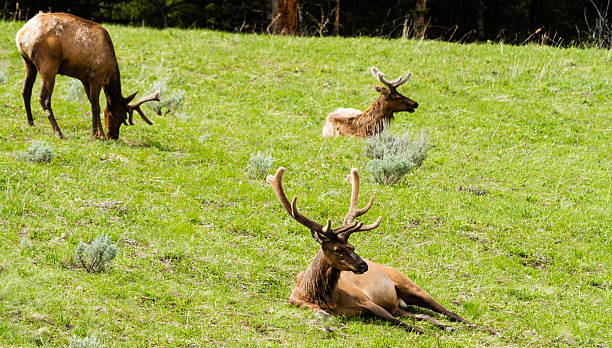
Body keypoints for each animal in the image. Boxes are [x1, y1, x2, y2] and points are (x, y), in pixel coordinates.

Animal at [15, 12, 159, 140]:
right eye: (121, 116)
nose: (114, 136)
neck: (110, 68)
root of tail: (21, 35)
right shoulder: (97, 76)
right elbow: (96, 106)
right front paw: (97, 135)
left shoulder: (85, 80)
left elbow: (92, 103)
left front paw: (98, 134)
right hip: (49, 63)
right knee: (44, 98)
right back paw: (59, 133)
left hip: (28, 62)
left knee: (25, 91)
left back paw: (31, 123)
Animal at [268, 167, 498, 336]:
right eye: (337, 249)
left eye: (353, 247)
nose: (363, 265)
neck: (319, 295)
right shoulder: (301, 303)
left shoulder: (366, 300)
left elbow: (399, 323)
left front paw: (426, 332)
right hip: (398, 303)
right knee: (424, 316)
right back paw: (447, 327)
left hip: (409, 285)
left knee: (449, 312)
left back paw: (487, 329)